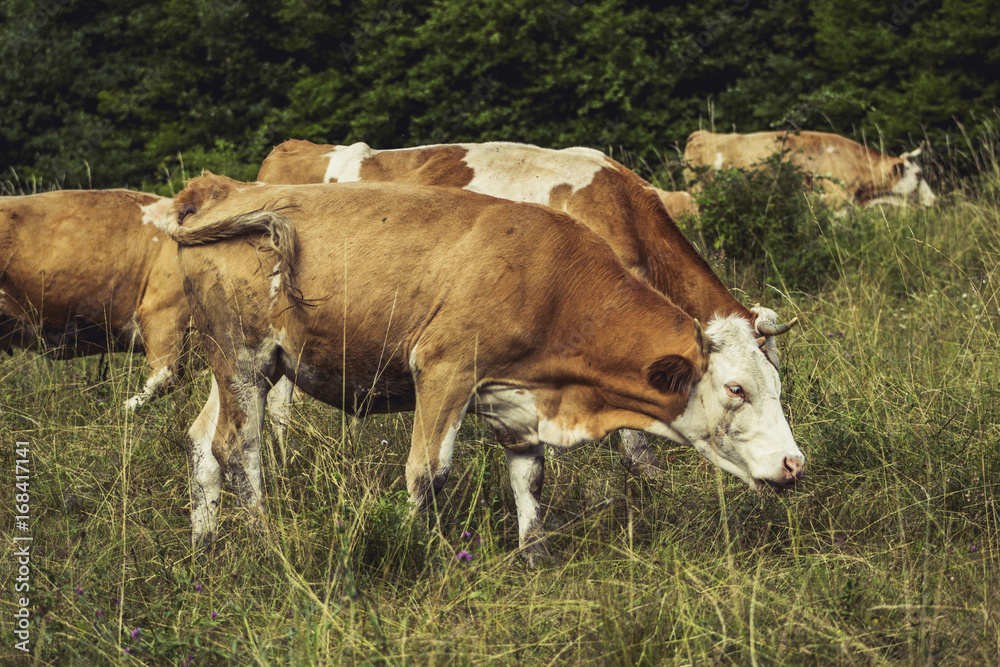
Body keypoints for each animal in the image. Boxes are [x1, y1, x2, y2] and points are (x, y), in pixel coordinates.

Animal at [166, 174, 804, 564]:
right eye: (736, 389)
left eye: (775, 385)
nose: (794, 464)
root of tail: (225, 191)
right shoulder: (444, 370)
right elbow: (427, 471)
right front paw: (411, 545)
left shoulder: (519, 402)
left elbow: (530, 479)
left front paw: (535, 556)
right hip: (242, 357)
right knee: (237, 447)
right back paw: (261, 539)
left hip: (245, 367)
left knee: (201, 440)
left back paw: (204, 545)